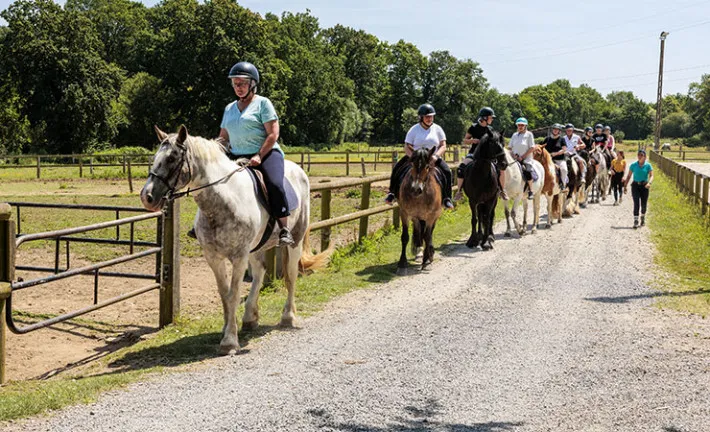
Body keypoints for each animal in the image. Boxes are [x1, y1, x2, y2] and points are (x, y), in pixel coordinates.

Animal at [140, 125, 332, 354]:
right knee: (259, 273)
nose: (147, 197)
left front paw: (230, 341)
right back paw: (250, 318)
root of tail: (299, 170)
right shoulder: (213, 257)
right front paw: (227, 328)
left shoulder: (239, 256)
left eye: (171, 158)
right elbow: (224, 294)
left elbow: (233, 294)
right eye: (154, 158)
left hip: (295, 239)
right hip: (256, 247)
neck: (223, 201)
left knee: (291, 275)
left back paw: (288, 317)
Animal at [398, 147, 442, 276]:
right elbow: (405, 237)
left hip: (434, 216)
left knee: (429, 233)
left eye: (427, 166)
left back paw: (429, 254)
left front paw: (426, 261)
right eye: (412, 164)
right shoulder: (404, 213)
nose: (416, 189)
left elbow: (427, 236)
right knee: (419, 231)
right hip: (416, 217)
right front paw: (402, 263)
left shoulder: (431, 216)